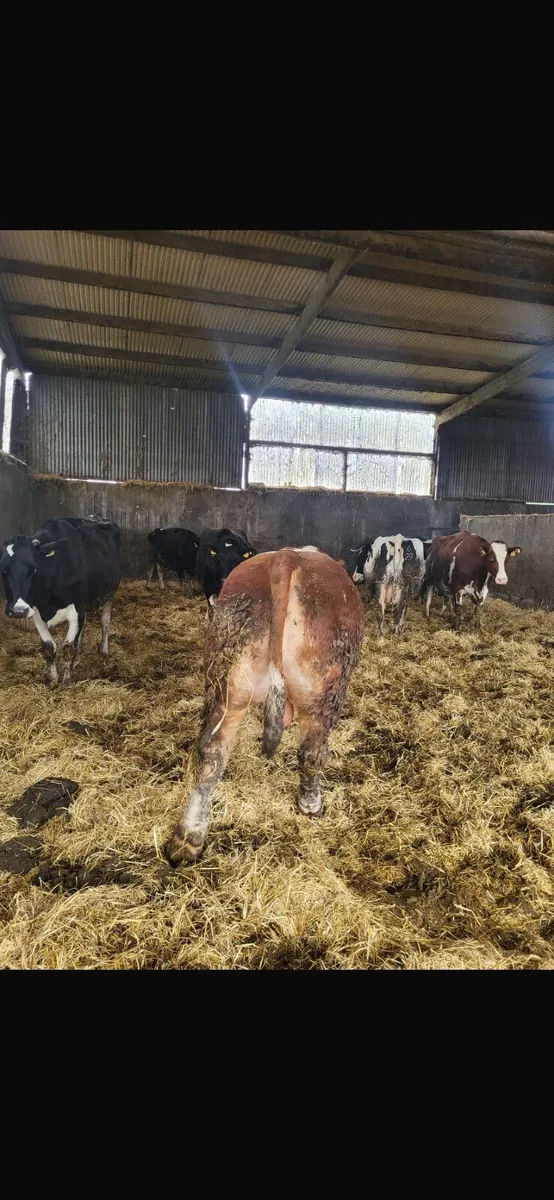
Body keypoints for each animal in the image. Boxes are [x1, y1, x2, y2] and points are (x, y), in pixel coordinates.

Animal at [0, 516, 120, 686]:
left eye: (34, 569)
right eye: (3, 569)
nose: (18, 611)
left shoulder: (77, 608)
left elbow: (69, 647)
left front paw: (67, 681)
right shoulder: (37, 612)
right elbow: (49, 647)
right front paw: (52, 679)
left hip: (109, 593)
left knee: (105, 621)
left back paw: (104, 649)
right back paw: (81, 648)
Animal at [166, 547, 364, 866]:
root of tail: (287, 557)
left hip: (228, 685)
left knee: (211, 752)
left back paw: (188, 839)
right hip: (323, 692)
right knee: (312, 753)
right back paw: (311, 805)